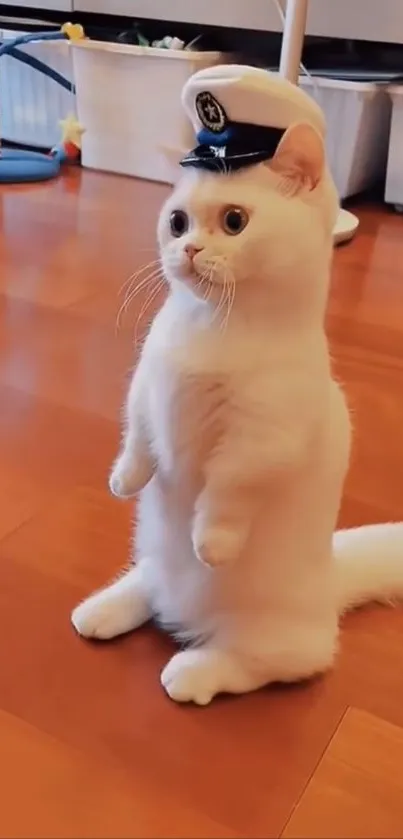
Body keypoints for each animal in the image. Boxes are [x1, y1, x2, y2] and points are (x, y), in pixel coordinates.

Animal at [71, 67, 403, 708]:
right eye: (177, 221)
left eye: (233, 221)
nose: (188, 248)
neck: (214, 324)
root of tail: (330, 576)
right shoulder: (146, 384)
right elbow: (139, 436)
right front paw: (124, 478)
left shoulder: (263, 437)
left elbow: (228, 491)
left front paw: (214, 543)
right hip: (151, 556)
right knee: (147, 588)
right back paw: (101, 610)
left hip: (275, 641)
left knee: (265, 663)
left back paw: (192, 670)